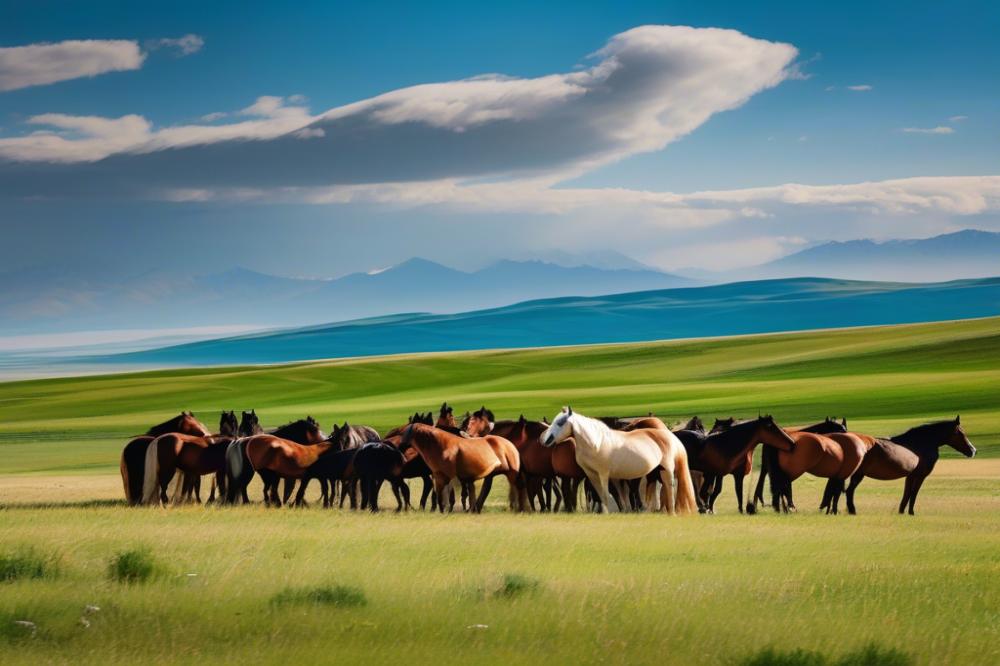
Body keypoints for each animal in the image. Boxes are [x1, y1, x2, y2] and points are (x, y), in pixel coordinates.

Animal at [397, 423, 526, 513]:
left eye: (403, 434)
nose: (399, 450)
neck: (441, 445)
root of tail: (510, 445)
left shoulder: (448, 477)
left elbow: (449, 496)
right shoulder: (439, 476)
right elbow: (441, 495)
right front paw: (444, 511)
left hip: (512, 474)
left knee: (517, 489)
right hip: (491, 475)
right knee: (486, 490)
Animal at [541, 407, 697, 514]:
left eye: (560, 422)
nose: (545, 440)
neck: (597, 443)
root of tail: (670, 436)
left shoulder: (604, 473)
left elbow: (604, 494)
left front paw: (606, 513)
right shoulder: (591, 475)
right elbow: (601, 494)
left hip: (667, 469)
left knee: (669, 486)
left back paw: (671, 512)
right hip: (655, 472)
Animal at [834, 417, 975, 515]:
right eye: (960, 433)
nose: (973, 450)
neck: (921, 443)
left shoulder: (910, 476)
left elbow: (906, 494)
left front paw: (901, 512)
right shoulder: (920, 476)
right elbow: (913, 494)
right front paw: (911, 512)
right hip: (858, 474)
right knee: (849, 491)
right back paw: (852, 511)